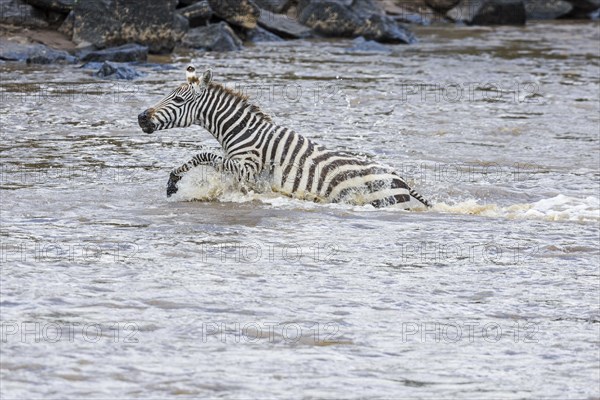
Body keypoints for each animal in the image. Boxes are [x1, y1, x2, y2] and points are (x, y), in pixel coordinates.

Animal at [139, 65, 432, 209]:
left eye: (177, 100)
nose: (141, 117)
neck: (241, 130)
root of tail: (402, 180)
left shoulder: (248, 168)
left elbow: (202, 154)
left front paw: (173, 183)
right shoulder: (239, 171)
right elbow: (204, 159)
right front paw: (173, 182)